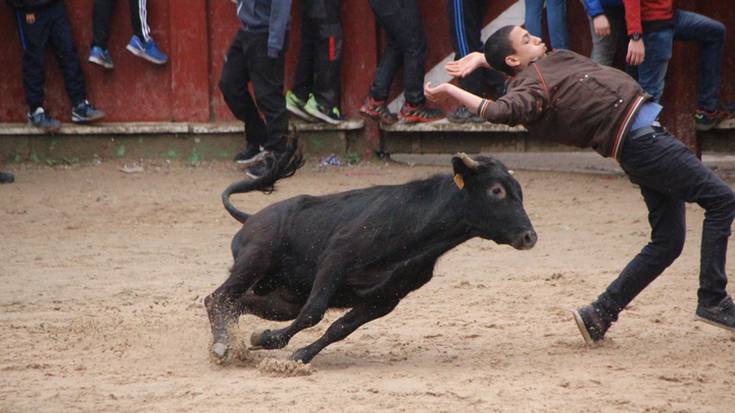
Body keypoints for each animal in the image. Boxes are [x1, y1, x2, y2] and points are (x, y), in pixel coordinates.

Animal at [204, 153, 536, 362]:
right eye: (497, 191)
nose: (529, 237)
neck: (414, 228)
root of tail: (250, 218)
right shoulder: (335, 261)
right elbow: (314, 312)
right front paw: (267, 340)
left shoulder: (385, 299)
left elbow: (339, 328)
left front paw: (298, 354)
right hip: (254, 259)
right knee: (216, 298)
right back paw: (221, 346)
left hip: (283, 298)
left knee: (238, 303)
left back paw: (231, 344)